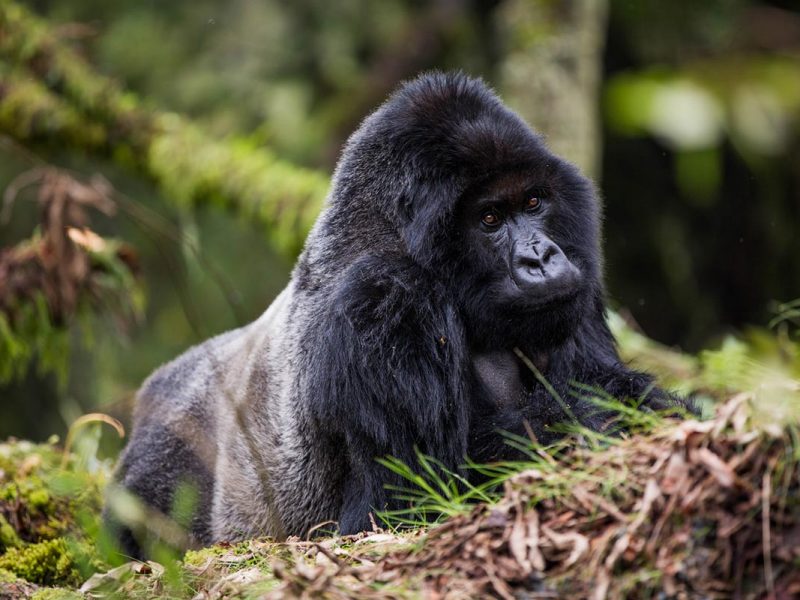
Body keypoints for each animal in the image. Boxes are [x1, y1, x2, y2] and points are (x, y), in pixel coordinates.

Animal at [108, 71, 680, 556]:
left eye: (534, 202)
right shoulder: (384, 298)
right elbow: (416, 498)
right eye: (490, 219)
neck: (403, 238)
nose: (541, 258)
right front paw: (607, 414)